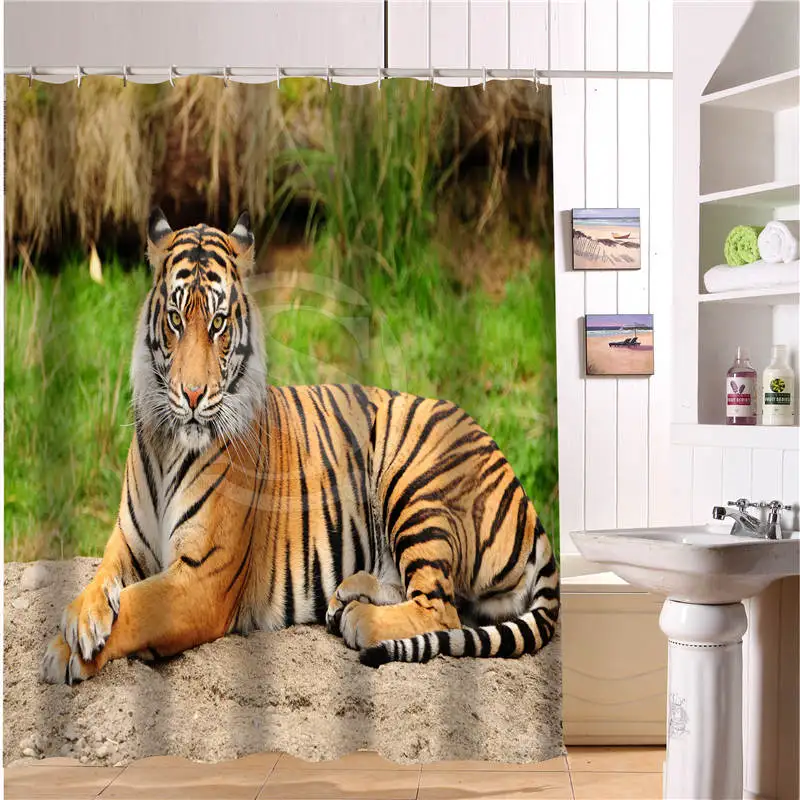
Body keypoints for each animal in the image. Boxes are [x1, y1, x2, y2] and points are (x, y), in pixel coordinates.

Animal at [40, 209, 560, 685]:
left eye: (218, 323)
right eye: (174, 319)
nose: (191, 395)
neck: (169, 444)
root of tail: (525, 498)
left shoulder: (203, 578)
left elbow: (137, 605)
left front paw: (64, 652)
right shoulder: (127, 543)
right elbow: (99, 579)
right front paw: (80, 619)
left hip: (414, 480)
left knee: (442, 608)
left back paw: (358, 618)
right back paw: (348, 592)